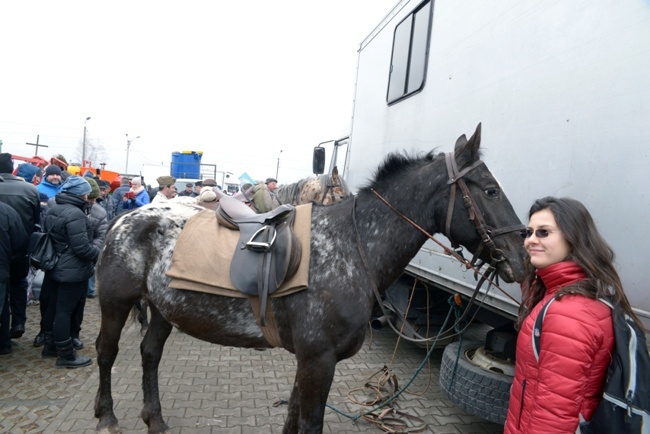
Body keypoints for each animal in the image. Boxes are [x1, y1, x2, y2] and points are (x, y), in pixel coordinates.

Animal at [93, 123, 524, 434]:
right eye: (490, 190)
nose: (521, 259)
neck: (350, 247)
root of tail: (125, 218)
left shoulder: (310, 361)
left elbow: (293, 420)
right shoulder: (319, 360)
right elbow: (309, 422)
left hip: (163, 309)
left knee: (150, 353)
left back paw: (155, 418)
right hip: (116, 303)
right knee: (106, 351)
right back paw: (107, 417)